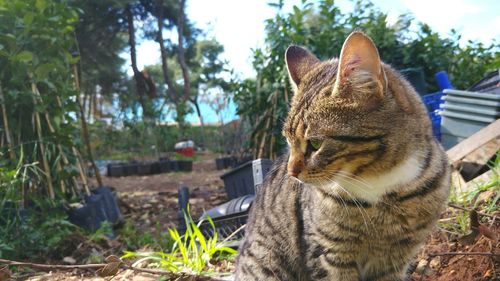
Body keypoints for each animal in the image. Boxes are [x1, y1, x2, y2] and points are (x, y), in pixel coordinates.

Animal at [236, 31, 452, 278]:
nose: (291, 172)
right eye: (289, 142)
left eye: (315, 143)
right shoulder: (328, 253)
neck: (380, 185)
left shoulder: (394, 258)